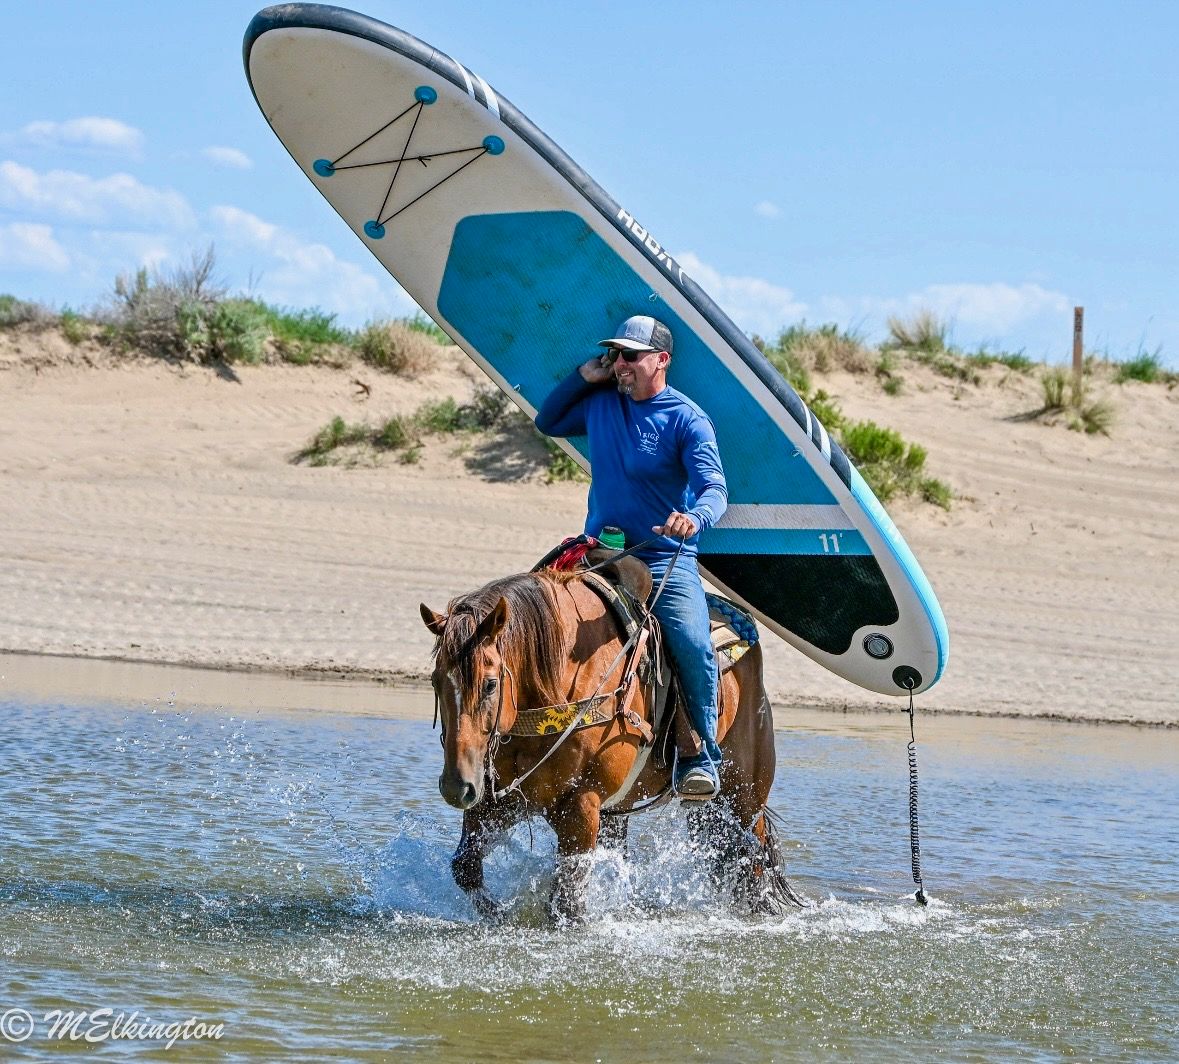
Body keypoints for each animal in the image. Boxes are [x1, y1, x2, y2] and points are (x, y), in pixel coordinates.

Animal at [419, 561, 802, 921]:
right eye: (436, 680)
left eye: (490, 684)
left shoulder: (581, 806)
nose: (456, 786)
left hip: (744, 796)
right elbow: (466, 868)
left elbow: (568, 905)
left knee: (753, 864)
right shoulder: (500, 801)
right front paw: (502, 915)